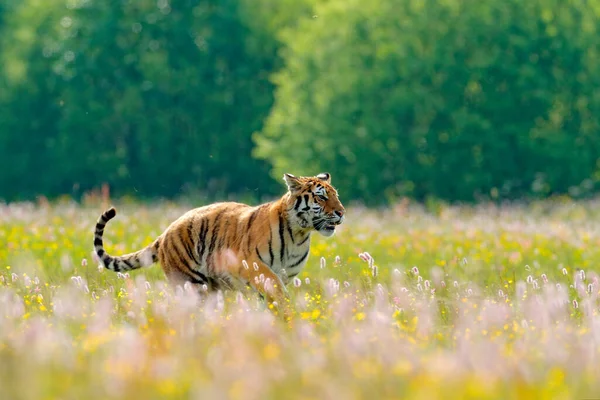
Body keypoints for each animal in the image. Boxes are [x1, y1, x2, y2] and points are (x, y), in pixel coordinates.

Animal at [94, 173, 346, 318]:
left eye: (336, 195)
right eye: (321, 197)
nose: (341, 212)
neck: (300, 233)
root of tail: (164, 233)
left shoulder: (285, 275)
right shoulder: (253, 265)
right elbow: (276, 289)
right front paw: (288, 312)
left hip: (212, 288)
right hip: (192, 285)